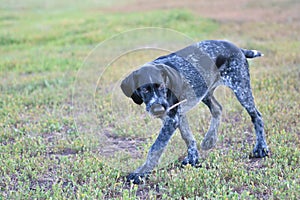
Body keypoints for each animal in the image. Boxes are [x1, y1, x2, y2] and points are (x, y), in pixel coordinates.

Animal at [120, 39, 268, 184]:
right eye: (144, 90)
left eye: (162, 86)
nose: (158, 109)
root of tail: (238, 48)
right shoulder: (177, 115)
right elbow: (187, 136)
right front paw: (193, 158)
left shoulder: (172, 118)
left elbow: (156, 147)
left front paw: (141, 173)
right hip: (205, 91)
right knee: (217, 108)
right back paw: (209, 139)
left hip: (241, 88)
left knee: (256, 116)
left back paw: (261, 147)